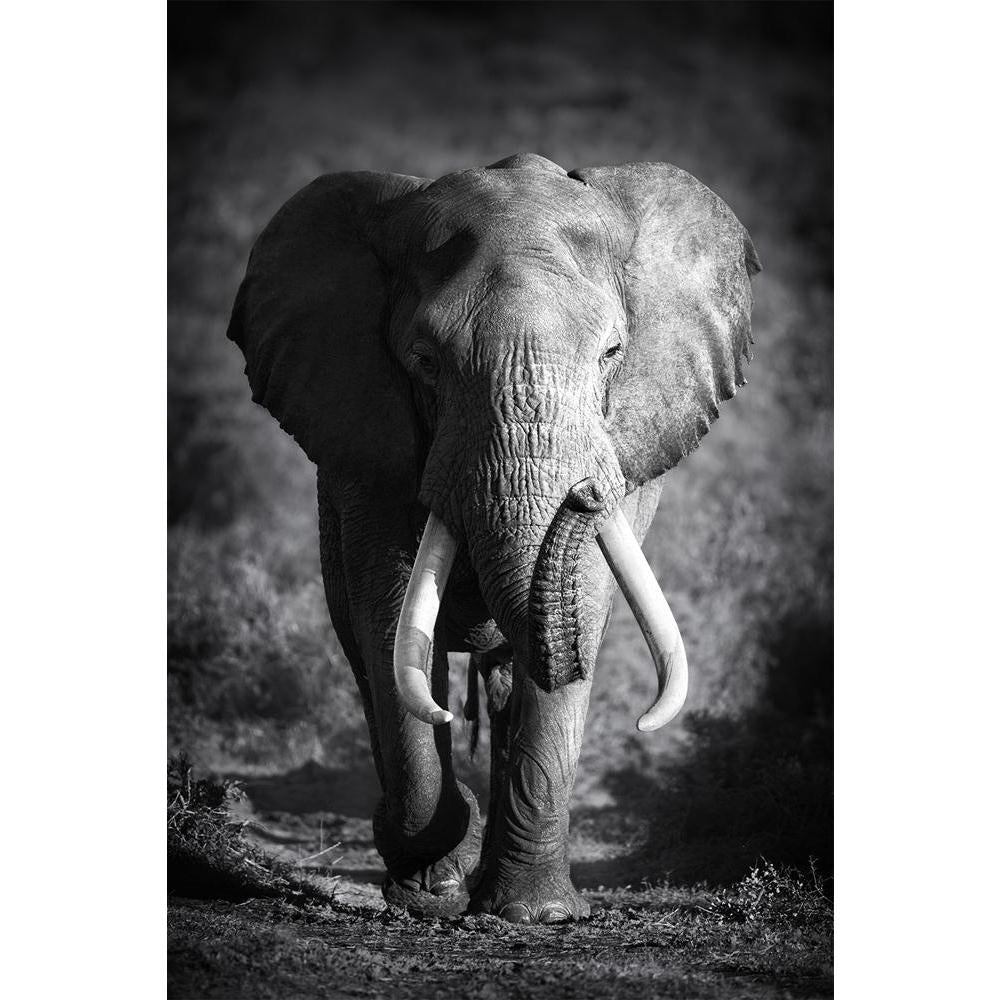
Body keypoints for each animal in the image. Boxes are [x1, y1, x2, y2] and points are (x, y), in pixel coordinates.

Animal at [227, 152, 759, 924]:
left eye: (613, 352)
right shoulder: (366, 444)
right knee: (365, 655)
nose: (585, 493)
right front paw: (431, 886)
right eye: (424, 361)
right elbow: (389, 618)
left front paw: (536, 915)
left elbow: (583, 606)